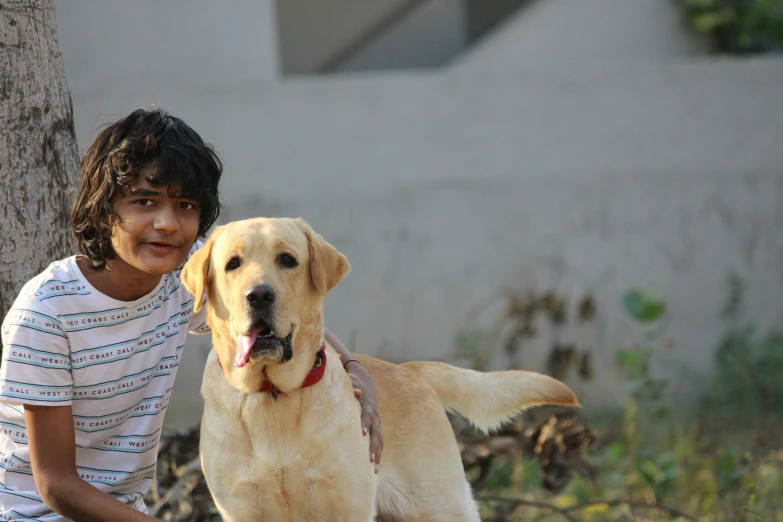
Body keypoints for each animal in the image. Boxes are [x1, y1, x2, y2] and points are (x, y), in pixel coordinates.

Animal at [181, 216, 580, 520]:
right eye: (233, 264)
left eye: (287, 260)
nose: (259, 295)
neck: (273, 393)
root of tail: (410, 370)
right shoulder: (243, 509)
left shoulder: (346, 507)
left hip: (439, 506)